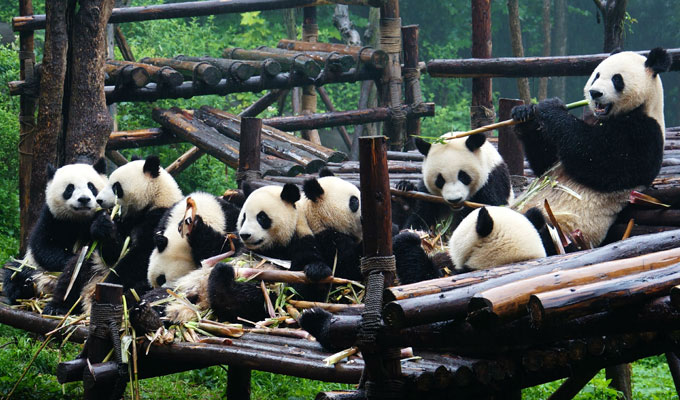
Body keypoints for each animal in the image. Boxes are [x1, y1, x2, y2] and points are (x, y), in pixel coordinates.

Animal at [3, 159, 107, 304]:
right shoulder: (52, 218)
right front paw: (68, 260)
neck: (80, 219)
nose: (84, 199)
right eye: (70, 188)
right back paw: (24, 286)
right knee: (14, 271)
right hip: (31, 265)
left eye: (91, 186)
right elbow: (44, 247)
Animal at [44, 156, 185, 316]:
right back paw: (57, 306)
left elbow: (141, 257)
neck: (156, 198)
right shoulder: (125, 222)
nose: (98, 200)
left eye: (116, 187)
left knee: (140, 289)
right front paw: (102, 226)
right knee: (74, 272)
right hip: (90, 264)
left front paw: (113, 278)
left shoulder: (160, 218)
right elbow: (113, 253)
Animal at [510, 47, 668, 247]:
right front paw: (524, 114)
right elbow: (546, 163)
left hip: (566, 230)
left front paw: (551, 106)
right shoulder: (591, 118)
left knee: (537, 228)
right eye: (596, 75)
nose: (595, 93)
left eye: (617, 79)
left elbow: (596, 159)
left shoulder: (644, 133)